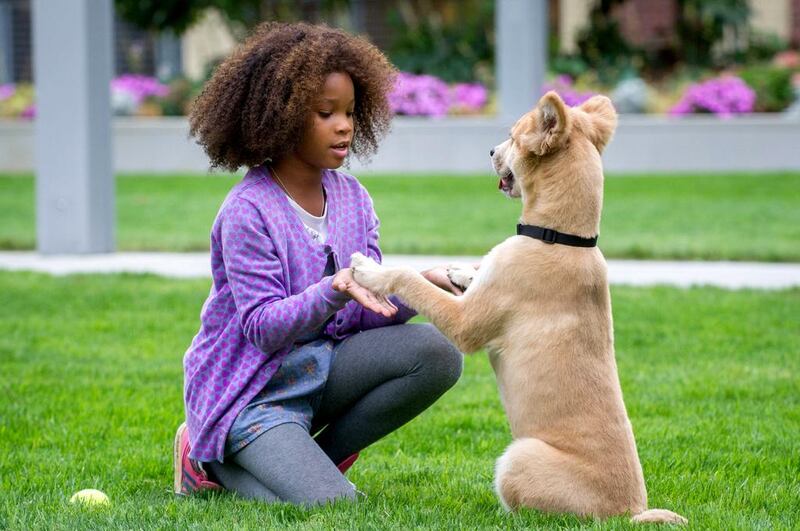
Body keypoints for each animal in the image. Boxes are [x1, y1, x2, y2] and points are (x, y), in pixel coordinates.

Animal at [354, 92, 692, 524]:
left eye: (514, 138)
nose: (491, 151)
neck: (560, 237)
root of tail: (627, 514)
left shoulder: (465, 323)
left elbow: (411, 280)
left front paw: (371, 271)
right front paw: (461, 271)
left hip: (519, 457)